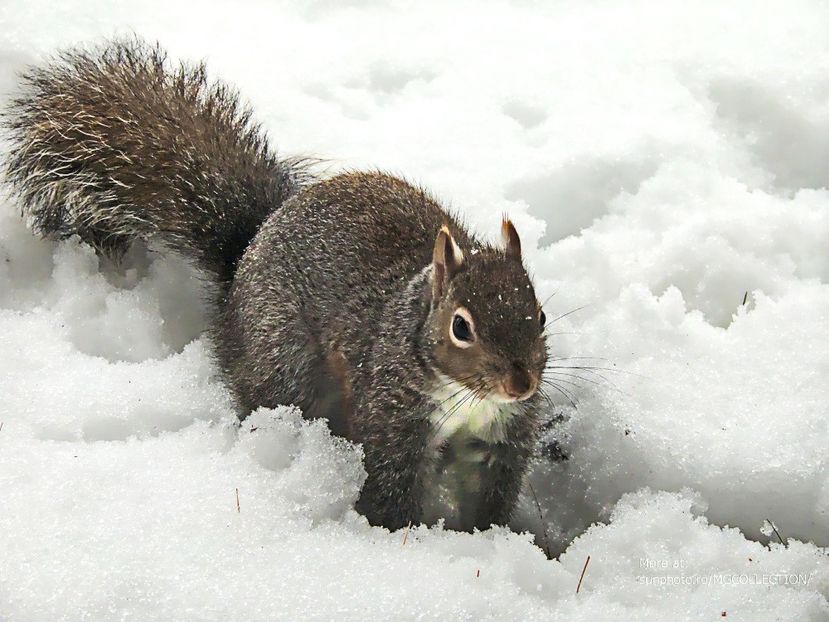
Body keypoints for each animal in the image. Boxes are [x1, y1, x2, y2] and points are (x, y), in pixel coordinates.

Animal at [6, 37, 552, 532]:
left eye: (542, 315)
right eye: (461, 327)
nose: (521, 384)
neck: (471, 398)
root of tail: (246, 257)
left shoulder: (501, 440)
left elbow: (489, 495)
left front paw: (492, 539)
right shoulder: (391, 417)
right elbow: (391, 487)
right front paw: (404, 539)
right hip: (284, 359)